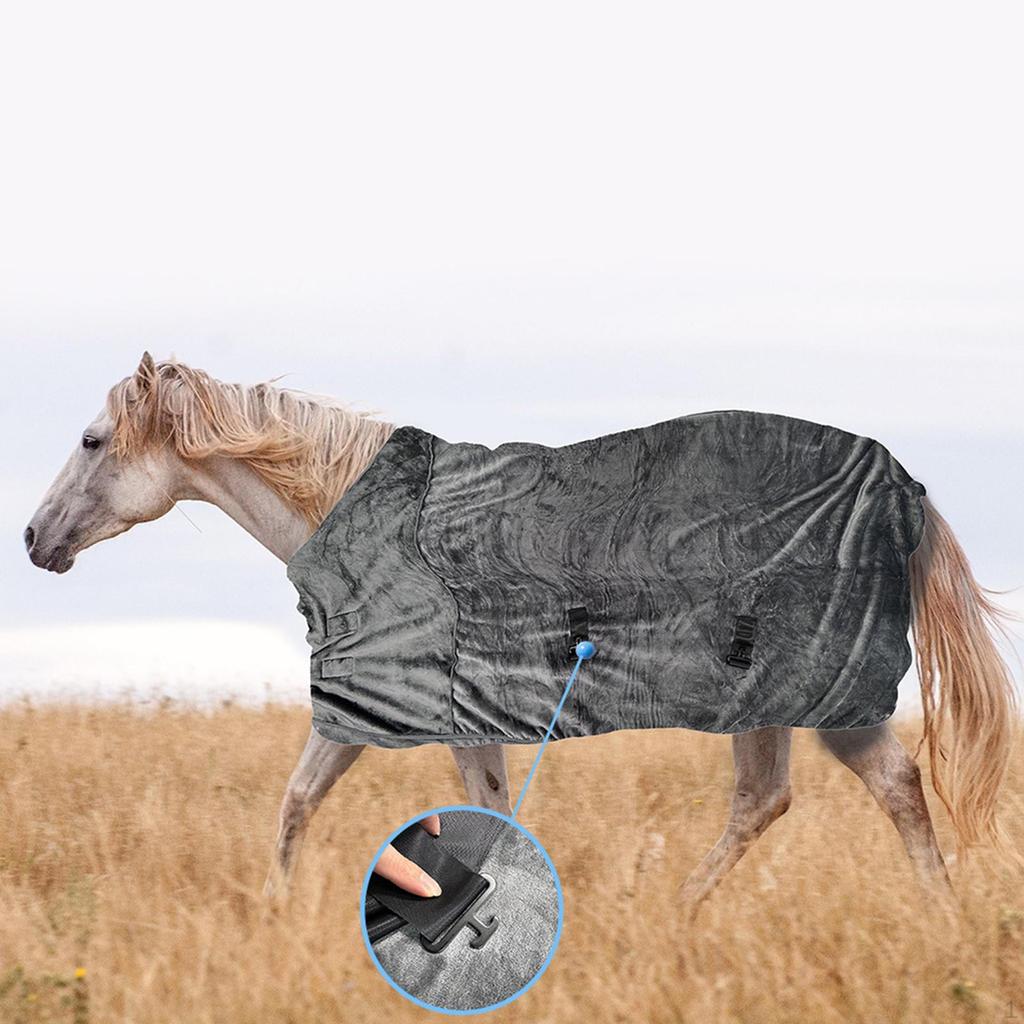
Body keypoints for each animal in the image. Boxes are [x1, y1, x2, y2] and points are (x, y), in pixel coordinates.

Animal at [24, 353, 1017, 908]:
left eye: (92, 441)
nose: (34, 539)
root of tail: (900, 484)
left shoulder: (408, 708)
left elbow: (389, 808)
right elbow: (309, 802)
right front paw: (275, 914)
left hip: (811, 692)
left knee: (863, 788)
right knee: (792, 796)